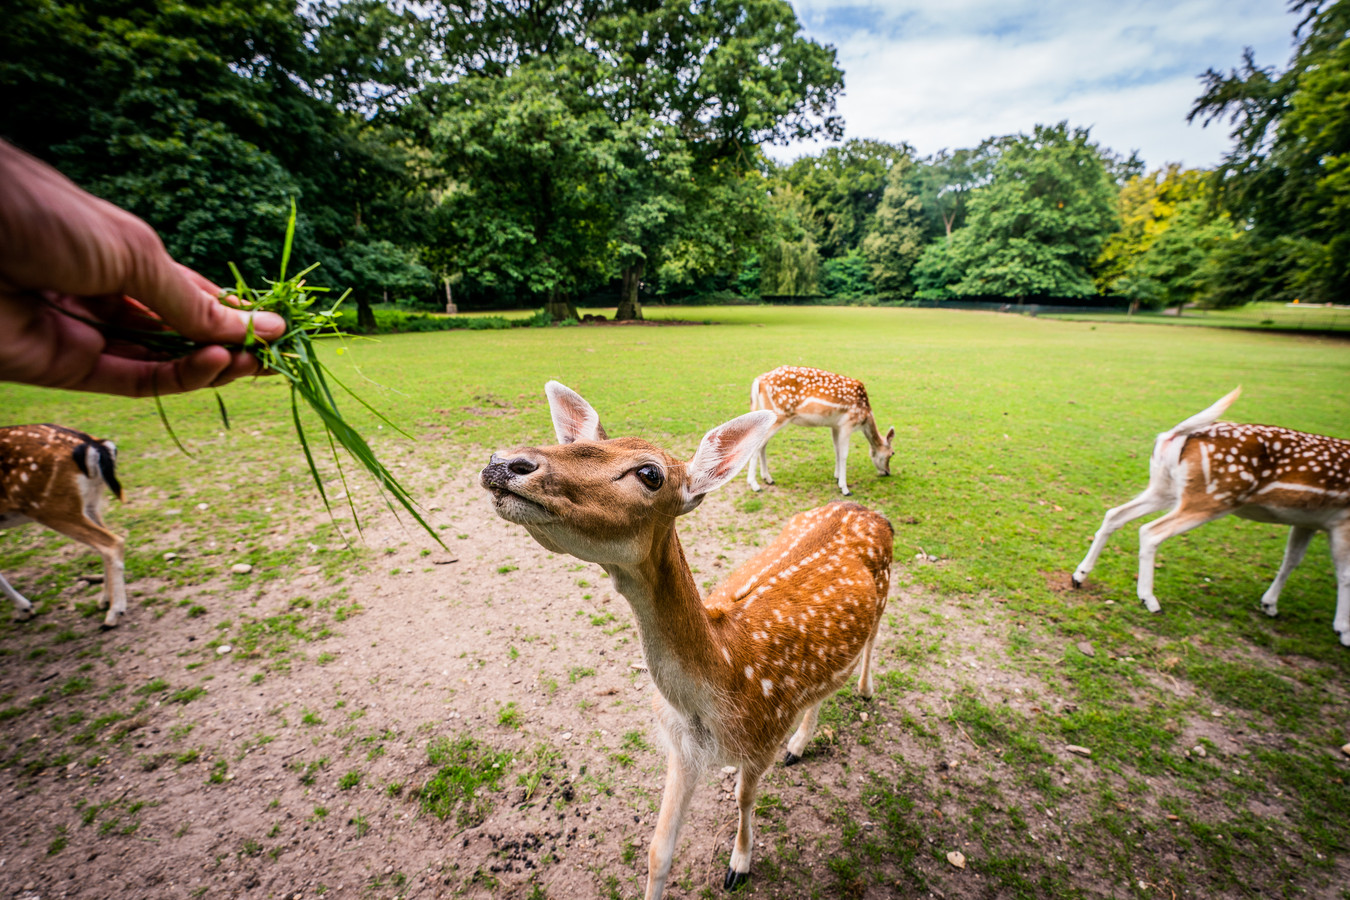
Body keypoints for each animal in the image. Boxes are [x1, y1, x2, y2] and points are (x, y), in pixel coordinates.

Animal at [0, 423, 127, 626]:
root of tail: (93, 445)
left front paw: (25, 609)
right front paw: (24, 609)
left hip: (50, 507)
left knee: (111, 542)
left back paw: (115, 612)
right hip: (89, 502)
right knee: (105, 542)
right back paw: (105, 600)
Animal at [480, 380, 891, 900]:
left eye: (650, 473)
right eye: (573, 444)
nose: (505, 462)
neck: (724, 679)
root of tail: (874, 513)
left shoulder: (762, 739)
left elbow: (743, 799)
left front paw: (739, 866)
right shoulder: (679, 747)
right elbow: (658, 852)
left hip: (885, 596)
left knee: (871, 643)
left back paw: (864, 691)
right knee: (824, 687)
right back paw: (800, 744)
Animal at [745, 367, 891, 496]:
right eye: (892, 453)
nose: (887, 472)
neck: (865, 415)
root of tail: (758, 380)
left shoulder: (835, 426)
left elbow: (836, 450)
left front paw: (837, 477)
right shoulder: (847, 423)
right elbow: (844, 454)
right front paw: (845, 489)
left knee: (763, 446)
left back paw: (768, 478)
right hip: (779, 415)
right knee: (757, 445)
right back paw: (755, 485)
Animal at [1074, 391, 1350, 644]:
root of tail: (1175, 435)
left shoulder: (1308, 521)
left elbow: (1292, 559)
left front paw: (1270, 606)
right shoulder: (1341, 520)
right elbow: (1344, 573)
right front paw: (1343, 632)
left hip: (1165, 488)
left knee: (1115, 514)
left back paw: (1080, 576)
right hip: (1213, 498)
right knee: (1151, 531)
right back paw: (1149, 600)